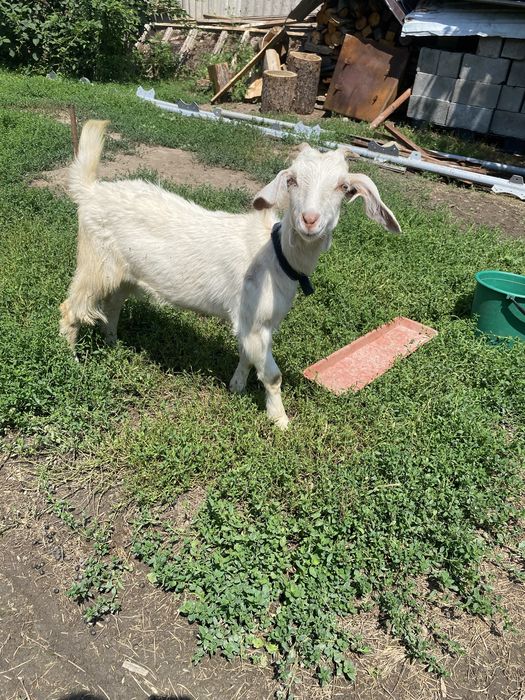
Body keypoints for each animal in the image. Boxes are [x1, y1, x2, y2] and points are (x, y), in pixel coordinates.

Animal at [60, 120, 401, 429]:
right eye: (292, 181)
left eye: (344, 188)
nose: (309, 219)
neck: (277, 255)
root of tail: (90, 192)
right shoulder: (254, 318)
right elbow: (273, 375)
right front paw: (280, 421)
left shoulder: (256, 322)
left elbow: (247, 355)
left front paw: (236, 387)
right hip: (94, 262)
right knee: (70, 310)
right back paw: (71, 362)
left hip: (122, 273)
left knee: (112, 306)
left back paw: (113, 344)